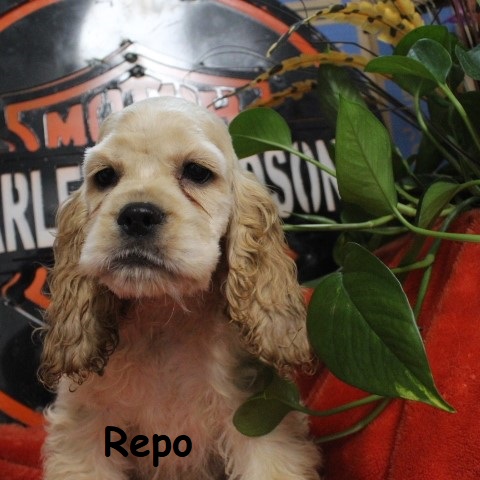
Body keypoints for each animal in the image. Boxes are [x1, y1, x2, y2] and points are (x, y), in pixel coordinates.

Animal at [39, 96, 321, 479]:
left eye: (197, 172)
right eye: (105, 176)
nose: (137, 215)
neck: (163, 315)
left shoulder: (260, 420)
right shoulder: (86, 431)